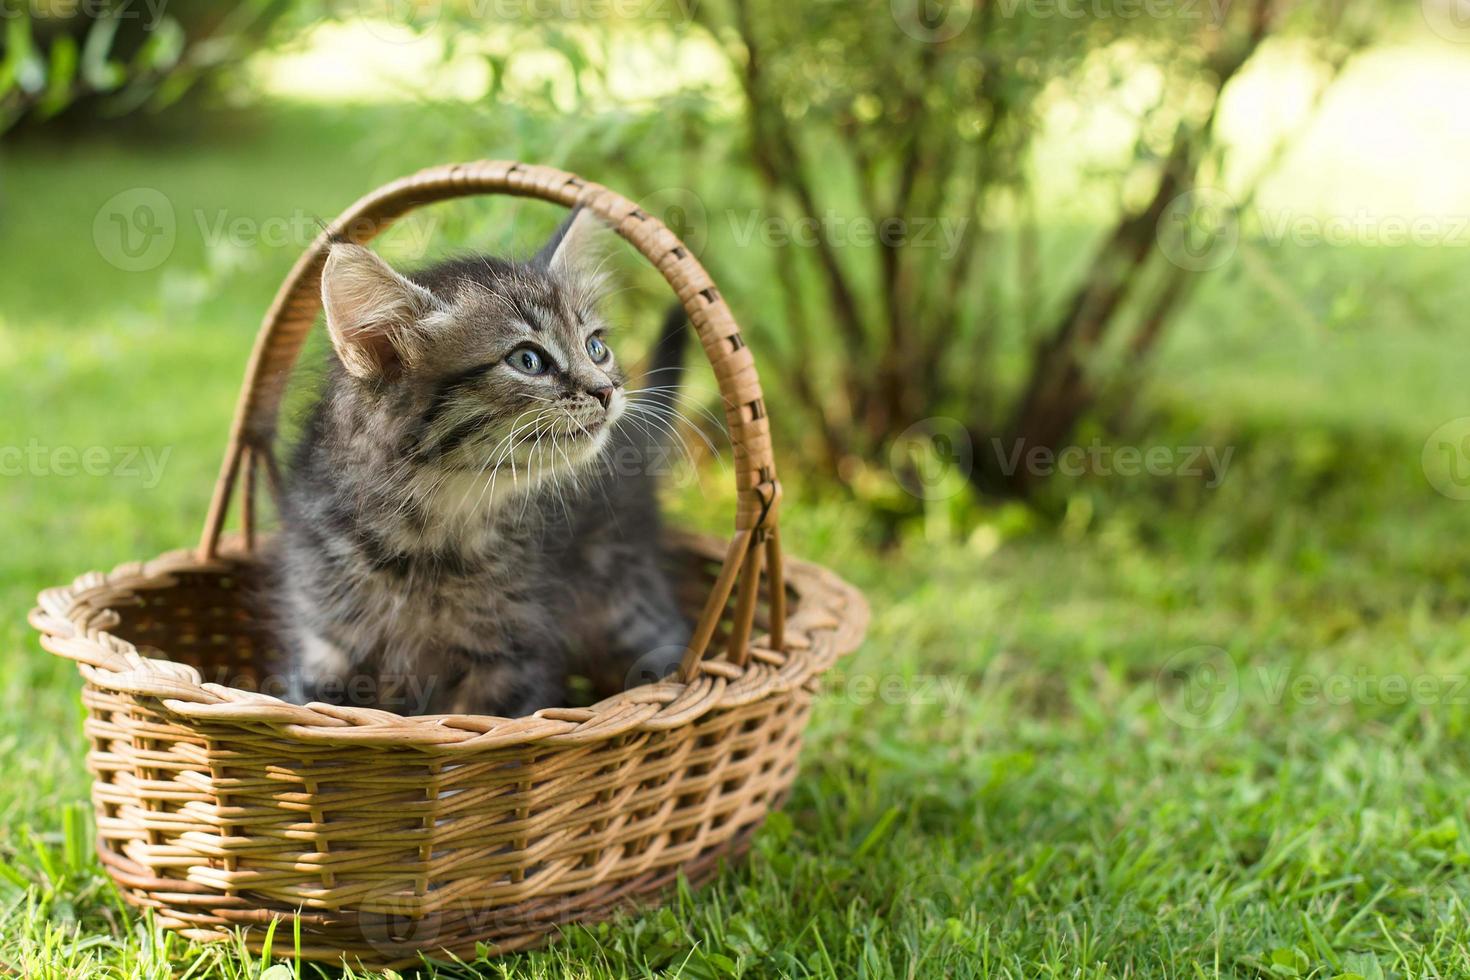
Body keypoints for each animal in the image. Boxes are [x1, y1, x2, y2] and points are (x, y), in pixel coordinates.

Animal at [267, 211, 690, 717]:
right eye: (528, 359)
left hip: (630, 603)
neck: (427, 532)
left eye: (595, 347)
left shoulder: (512, 653)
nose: (606, 389)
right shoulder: (324, 640)